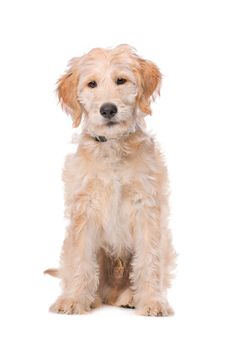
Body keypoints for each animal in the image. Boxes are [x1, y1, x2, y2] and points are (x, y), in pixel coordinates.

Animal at [45, 44, 177, 318]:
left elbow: (149, 260)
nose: (107, 109)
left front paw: (152, 301)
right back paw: (92, 298)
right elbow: (81, 259)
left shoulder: (147, 208)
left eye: (121, 81)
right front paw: (74, 299)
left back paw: (130, 296)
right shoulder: (84, 209)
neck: (113, 146)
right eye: (92, 84)